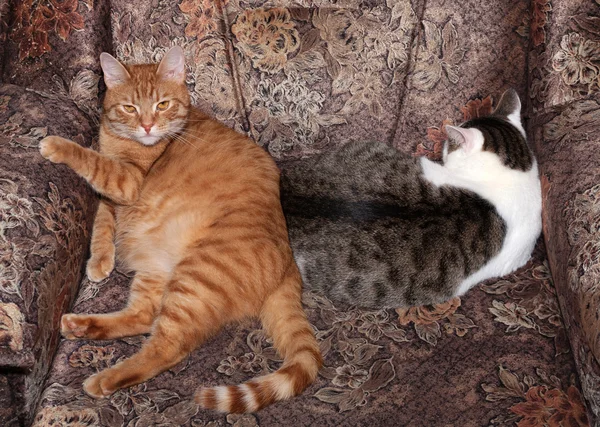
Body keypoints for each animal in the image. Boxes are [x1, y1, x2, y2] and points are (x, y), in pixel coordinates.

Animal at [39, 46, 322, 414]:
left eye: (162, 104)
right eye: (130, 107)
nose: (147, 126)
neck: (123, 141)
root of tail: (289, 263)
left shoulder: (126, 182)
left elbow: (90, 160)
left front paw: (57, 145)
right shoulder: (112, 199)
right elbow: (102, 221)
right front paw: (100, 261)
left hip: (195, 279)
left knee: (167, 348)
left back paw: (104, 378)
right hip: (158, 272)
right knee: (143, 316)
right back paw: (80, 324)